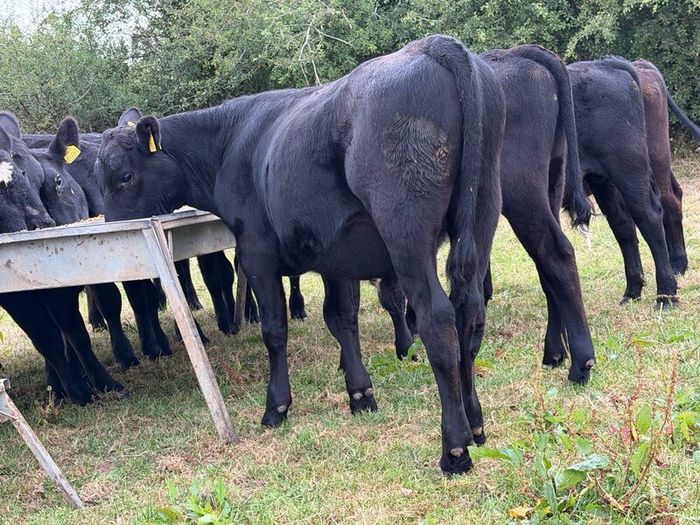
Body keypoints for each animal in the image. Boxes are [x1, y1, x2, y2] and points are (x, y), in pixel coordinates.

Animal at [96, 35, 506, 474]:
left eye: (125, 176)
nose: (114, 233)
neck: (229, 145)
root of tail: (434, 46)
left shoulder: (256, 251)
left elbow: (274, 330)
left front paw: (276, 407)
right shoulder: (338, 252)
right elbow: (342, 319)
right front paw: (360, 395)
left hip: (406, 230)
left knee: (437, 318)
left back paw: (454, 449)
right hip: (481, 217)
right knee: (470, 314)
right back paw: (476, 426)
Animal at [567, 58, 677, 306]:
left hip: (633, 169)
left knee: (653, 214)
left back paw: (667, 291)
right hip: (603, 179)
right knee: (624, 224)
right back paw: (633, 290)